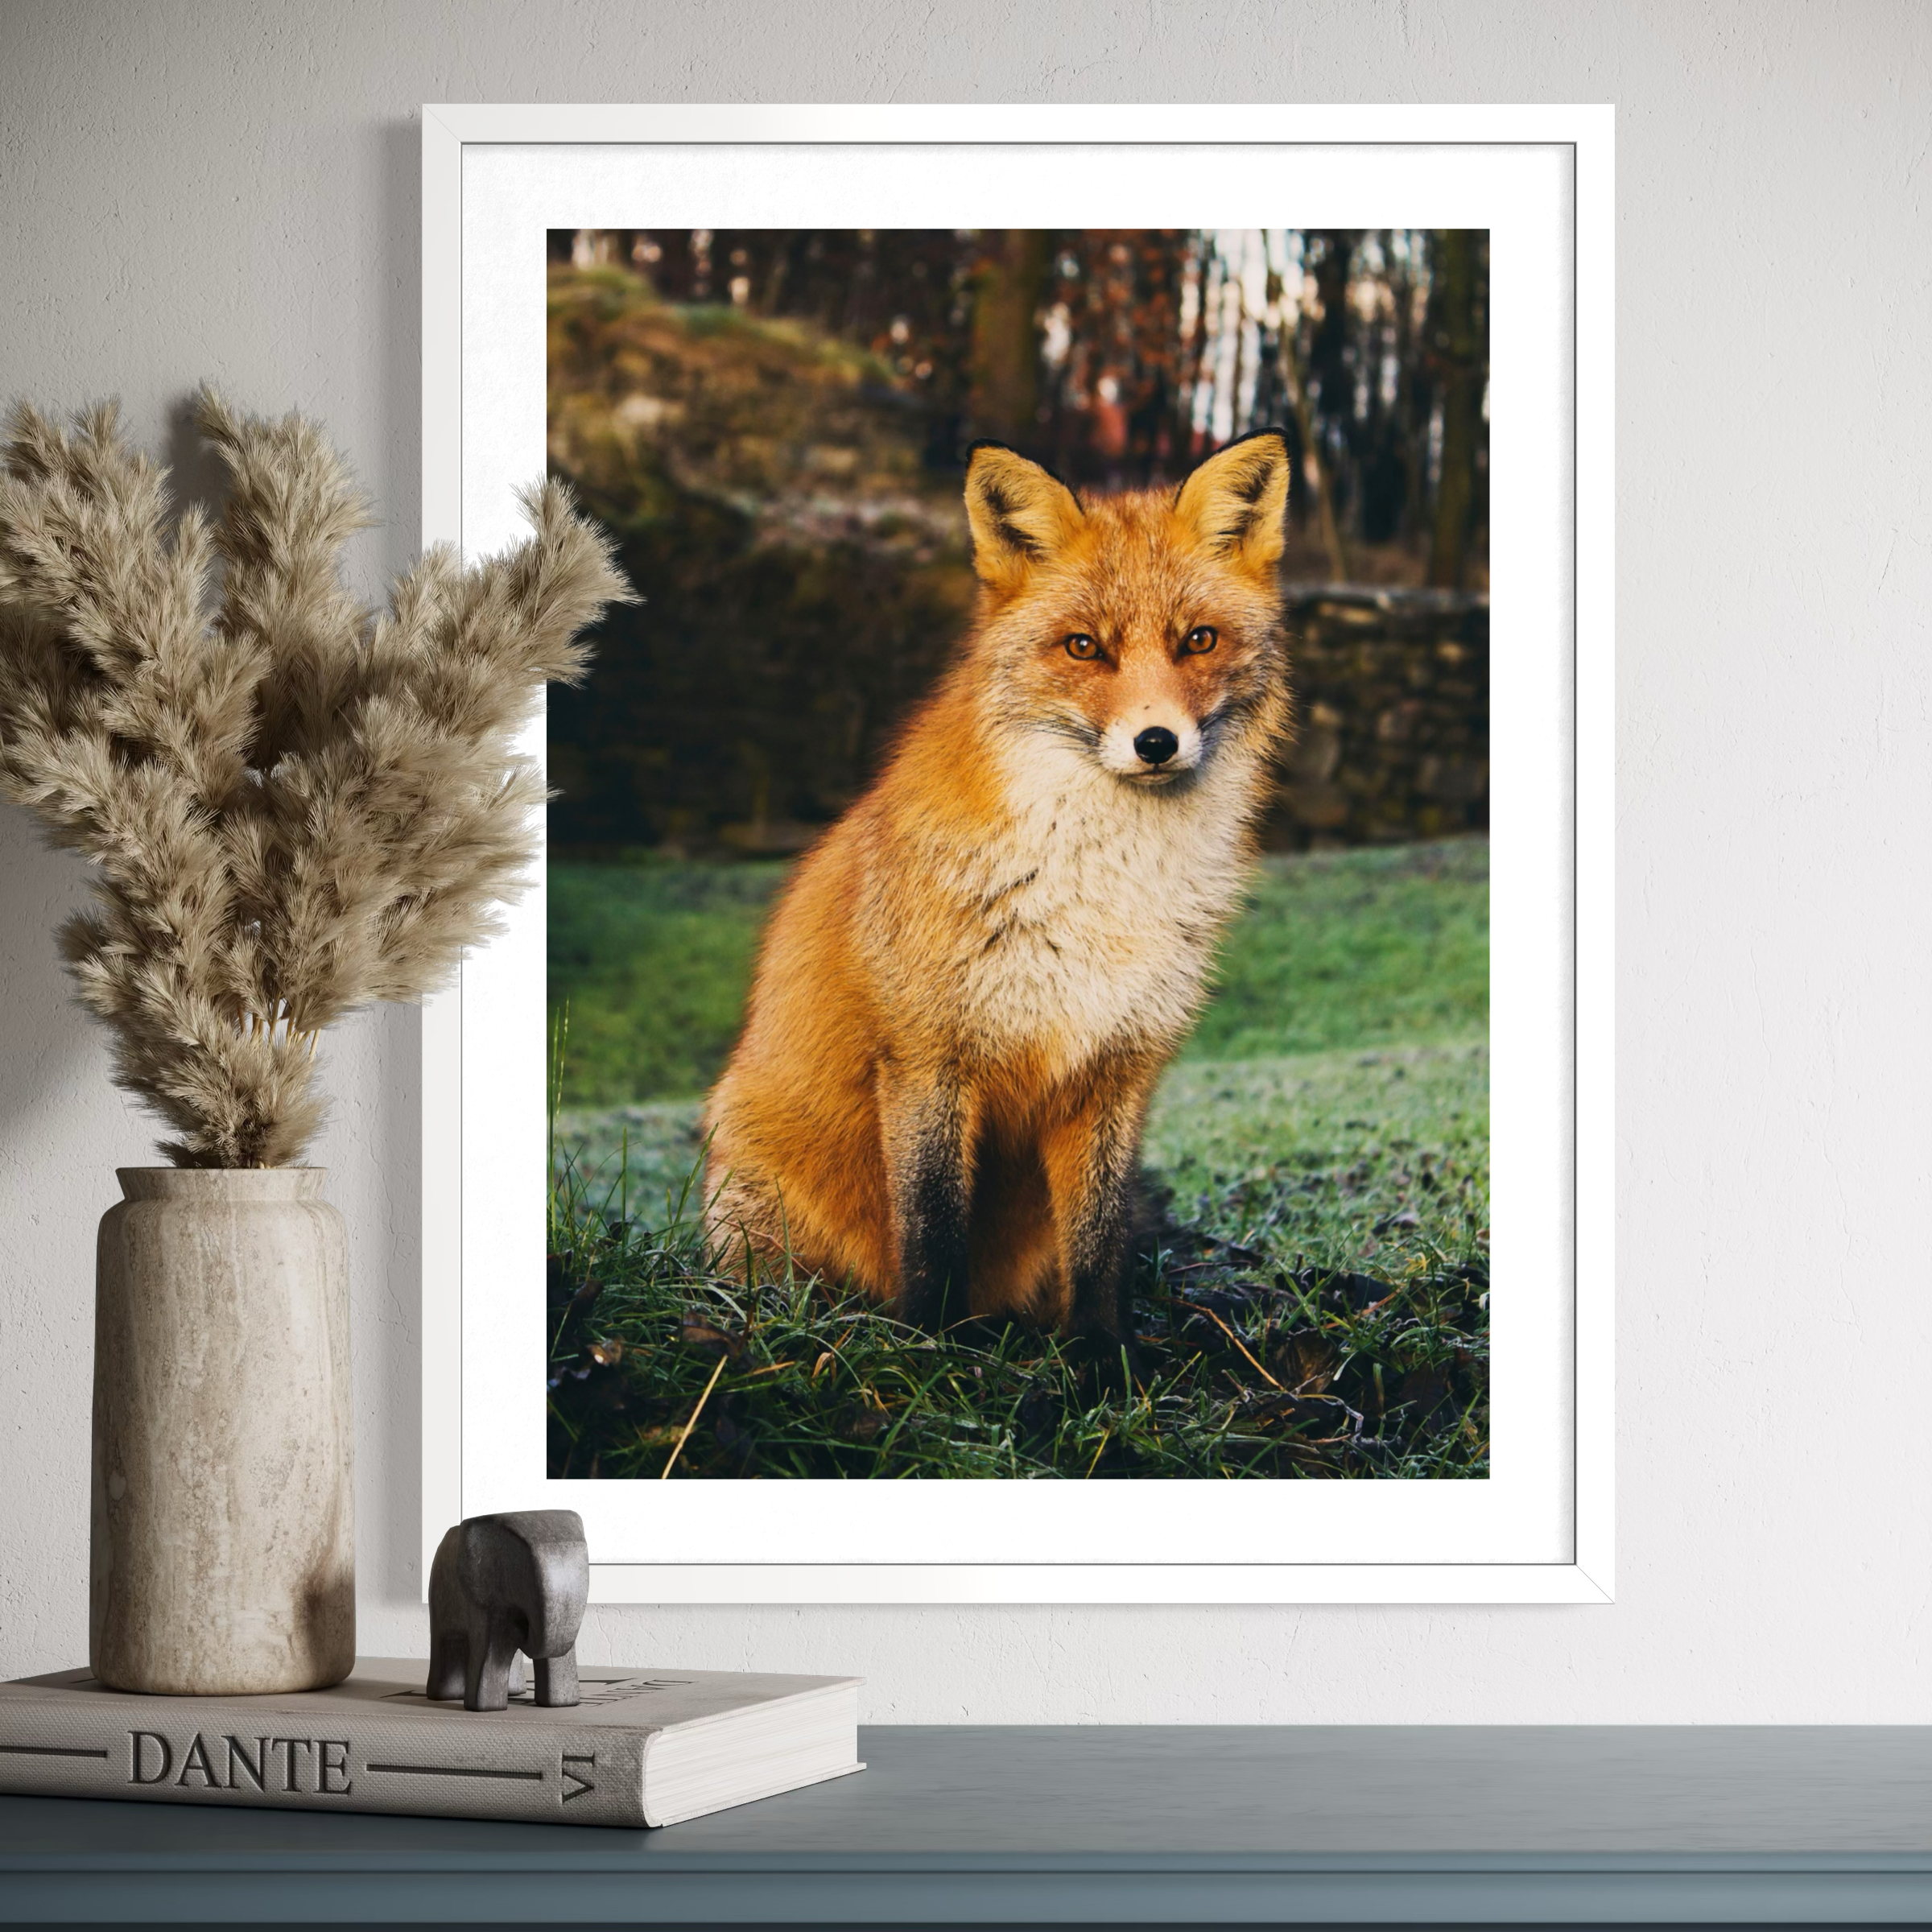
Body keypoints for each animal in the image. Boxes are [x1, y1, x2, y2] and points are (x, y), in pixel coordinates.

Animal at [701, 429, 1292, 1356]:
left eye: (1198, 640)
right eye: (1084, 647)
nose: (1156, 742)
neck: (1100, 889)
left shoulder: (1116, 1070)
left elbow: (1099, 1245)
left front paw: (1102, 1362)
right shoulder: (927, 1057)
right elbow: (934, 1230)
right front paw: (934, 1353)